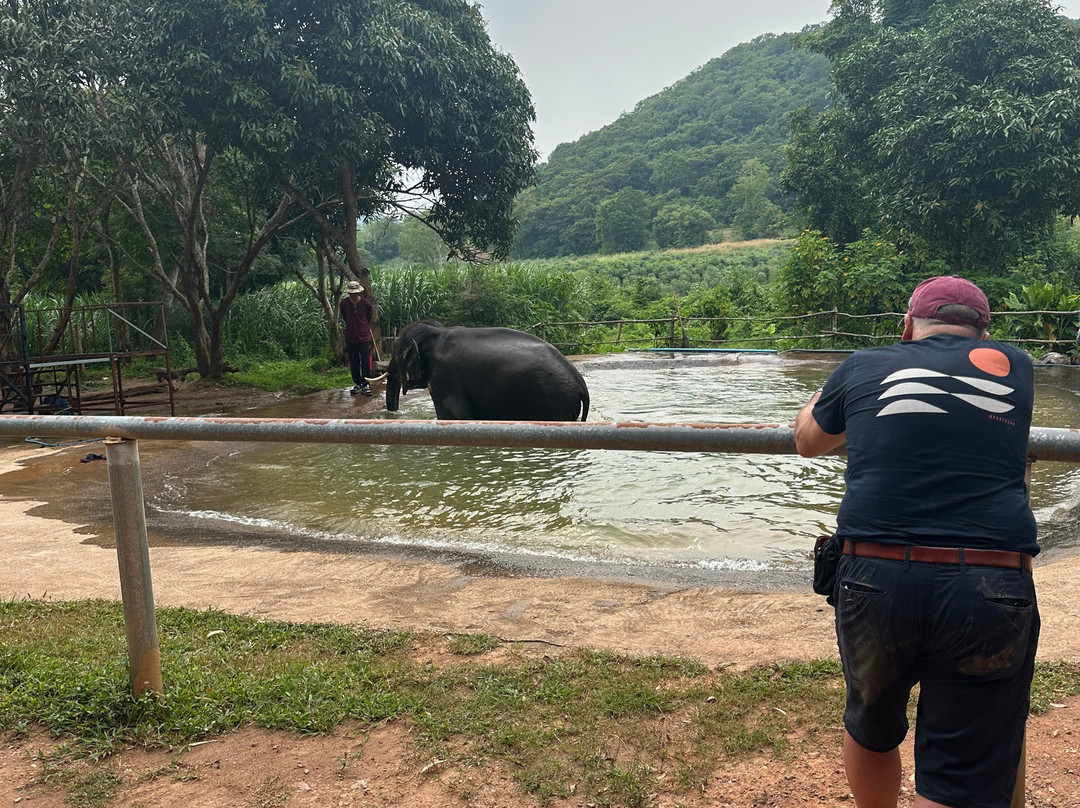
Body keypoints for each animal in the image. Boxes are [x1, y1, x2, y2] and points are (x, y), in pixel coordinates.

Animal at [385, 321, 590, 421]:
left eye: (396, 355)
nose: (394, 414)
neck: (436, 333)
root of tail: (579, 380)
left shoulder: (446, 375)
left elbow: (455, 416)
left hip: (554, 401)